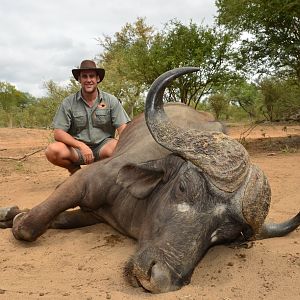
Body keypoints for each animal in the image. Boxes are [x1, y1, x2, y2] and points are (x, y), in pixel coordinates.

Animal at [0, 67, 300, 292]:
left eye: (226, 234)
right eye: (183, 187)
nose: (159, 279)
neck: (137, 208)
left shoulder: (92, 215)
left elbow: (50, 219)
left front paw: (15, 214)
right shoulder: (84, 182)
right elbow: (28, 226)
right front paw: (13, 215)